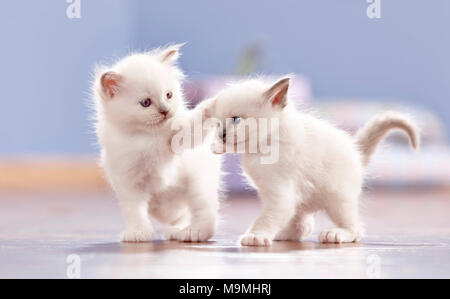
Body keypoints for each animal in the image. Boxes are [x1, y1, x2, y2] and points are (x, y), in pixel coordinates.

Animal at [92, 45, 222, 245]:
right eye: (146, 103)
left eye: (169, 95)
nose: (165, 111)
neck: (149, 138)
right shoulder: (127, 181)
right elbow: (134, 211)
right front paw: (138, 233)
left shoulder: (181, 140)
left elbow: (192, 126)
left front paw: (212, 105)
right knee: (177, 215)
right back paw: (178, 230)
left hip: (198, 183)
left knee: (204, 215)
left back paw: (192, 233)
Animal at [200, 77, 418, 246]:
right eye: (218, 124)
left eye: (236, 120)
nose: (221, 134)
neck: (259, 150)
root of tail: (356, 152)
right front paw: (216, 147)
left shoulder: (281, 194)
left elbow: (267, 217)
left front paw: (255, 236)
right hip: (306, 198)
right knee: (303, 225)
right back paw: (283, 235)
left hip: (338, 199)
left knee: (355, 229)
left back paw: (335, 234)